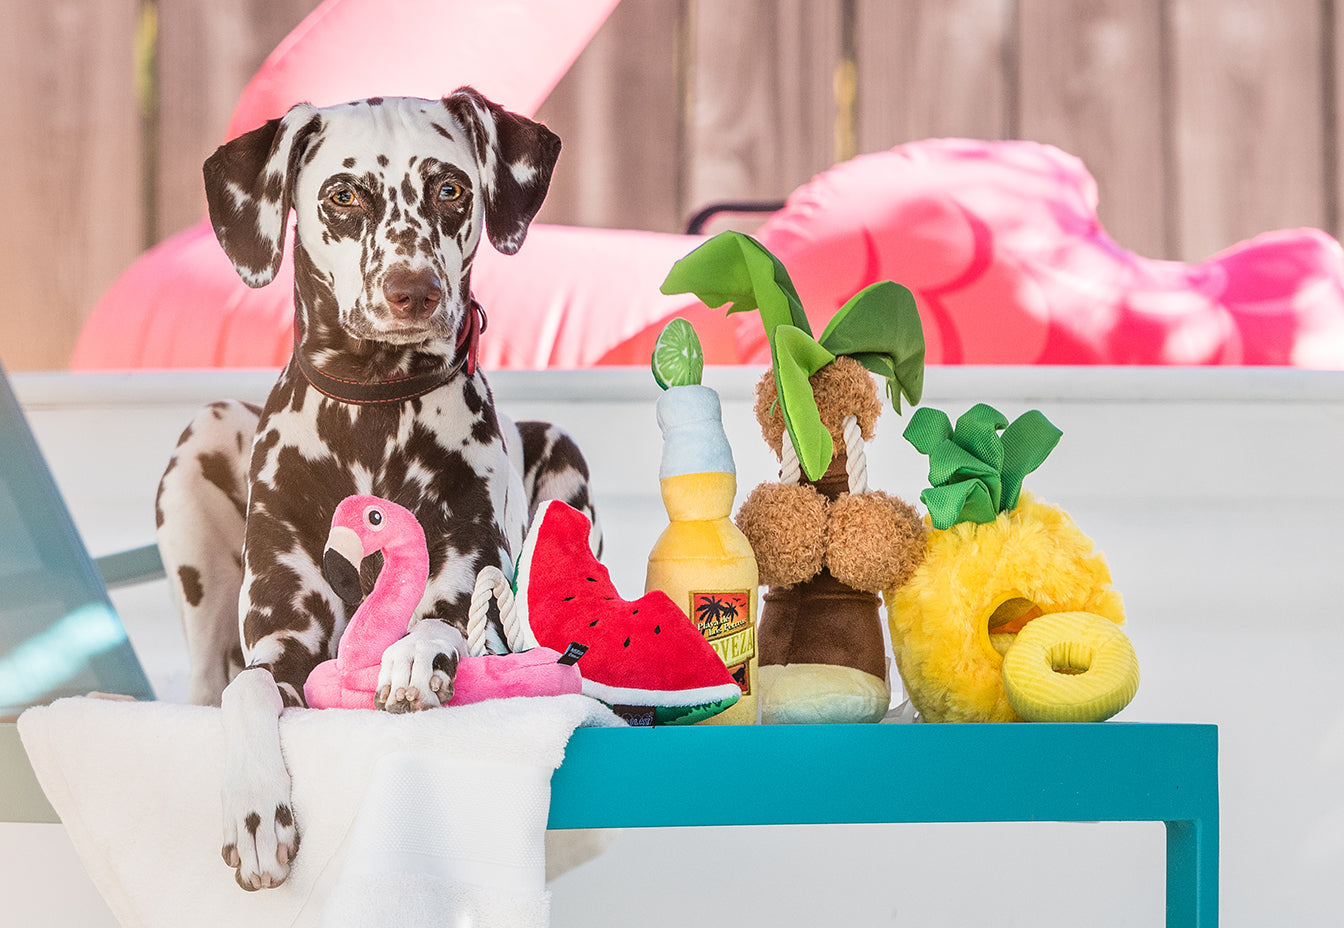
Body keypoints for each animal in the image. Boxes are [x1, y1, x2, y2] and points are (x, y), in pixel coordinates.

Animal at [157, 88, 599, 887]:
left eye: (450, 188)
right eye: (343, 195)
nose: (412, 291)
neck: (372, 414)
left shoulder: (467, 587)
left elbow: (436, 624)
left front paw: (415, 655)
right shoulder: (281, 641)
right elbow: (248, 688)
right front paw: (255, 809)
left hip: (561, 456)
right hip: (201, 448)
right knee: (209, 683)